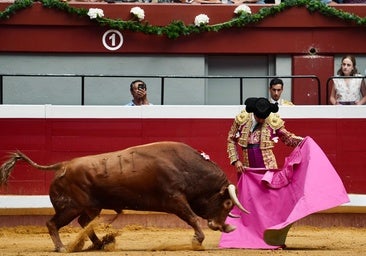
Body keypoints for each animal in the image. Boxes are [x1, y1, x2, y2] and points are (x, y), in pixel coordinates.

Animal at [0, 142, 247, 252]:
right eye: (227, 202)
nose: (224, 226)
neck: (187, 167)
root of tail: (63, 165)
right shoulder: (175, 200)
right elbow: (192, 218)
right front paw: (198, 240)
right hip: (71, 207)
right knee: (53, 223)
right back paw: (63, 248)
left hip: (91, 207)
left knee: (84, 222)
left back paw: (100, 244)